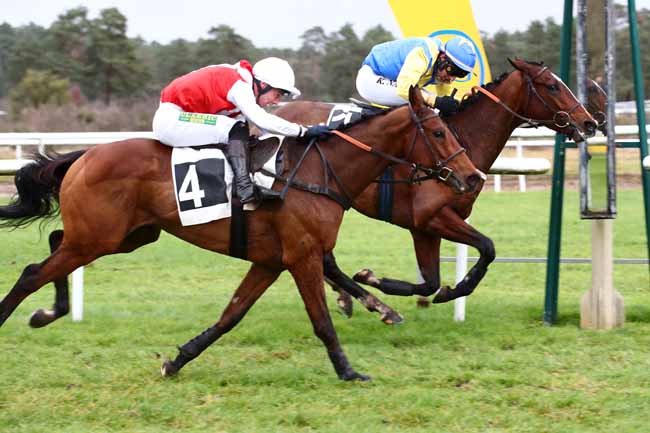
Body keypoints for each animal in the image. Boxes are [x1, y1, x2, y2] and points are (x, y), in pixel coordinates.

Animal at [0, 86, 484, 381]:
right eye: (438, 131)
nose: (473, 176)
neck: (316, 171)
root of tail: (83, 156)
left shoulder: (270, 261)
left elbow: (230, 315)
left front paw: (178, 360)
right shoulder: (302, 256)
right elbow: (322, 321)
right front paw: (349, 371)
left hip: (126, 236)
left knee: (52, 247)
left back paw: (49, 311)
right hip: (99, 238)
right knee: (32, 272)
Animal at [273, 58, 598, 321]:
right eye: (552, 86)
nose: (589, 122)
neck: (461, 140)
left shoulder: (424, 229)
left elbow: (431, 281)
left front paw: (383, 282)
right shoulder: (431, 218)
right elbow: (487, 247)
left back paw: (343, 296)